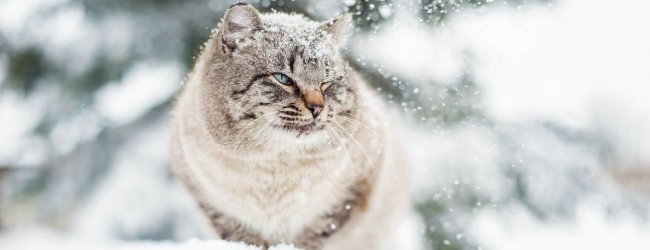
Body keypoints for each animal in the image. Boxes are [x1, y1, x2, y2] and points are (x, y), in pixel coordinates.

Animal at [170, 2, 408, 250]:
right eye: (283, 79)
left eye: (326, 83)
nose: (317, 108)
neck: (277, 164)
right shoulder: (215, 207)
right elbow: (244, 238)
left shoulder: (355, 187)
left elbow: (313, 235)